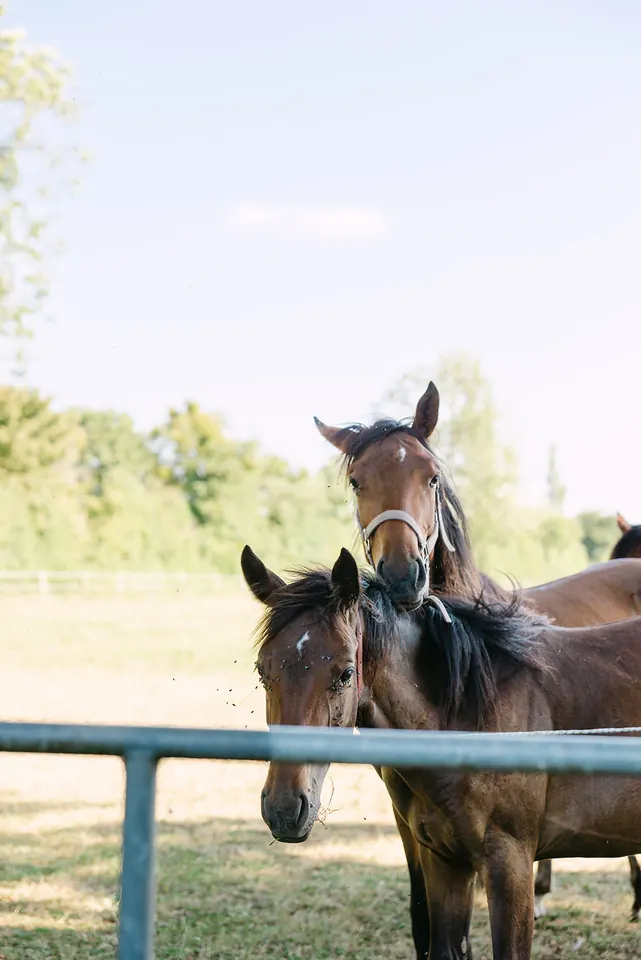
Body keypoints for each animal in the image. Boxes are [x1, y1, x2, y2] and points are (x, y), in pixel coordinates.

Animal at [242, 544, 641, 960]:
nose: (285, 809)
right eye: (262, 671)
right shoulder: (444, 863)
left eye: (345, 673)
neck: (472, 715)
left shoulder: (511, 866)